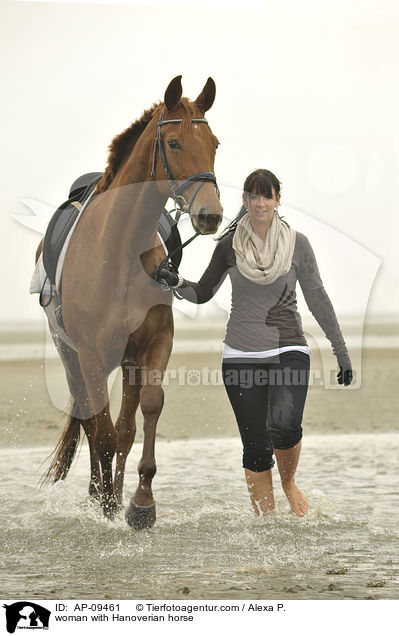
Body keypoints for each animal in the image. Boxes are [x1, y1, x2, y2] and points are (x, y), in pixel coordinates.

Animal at [38, 77, 223, 528]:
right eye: (173, 142)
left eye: (214, 143)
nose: (210, 215)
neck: (119, 250)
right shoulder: (89, 354)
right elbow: (101, 433)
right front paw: (106, 506)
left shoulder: (153, 346)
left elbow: (143, 415)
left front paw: (140, 503)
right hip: (73, 357)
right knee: (92, 424)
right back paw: (98, 495)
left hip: (124, 362)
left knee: (122, 428)